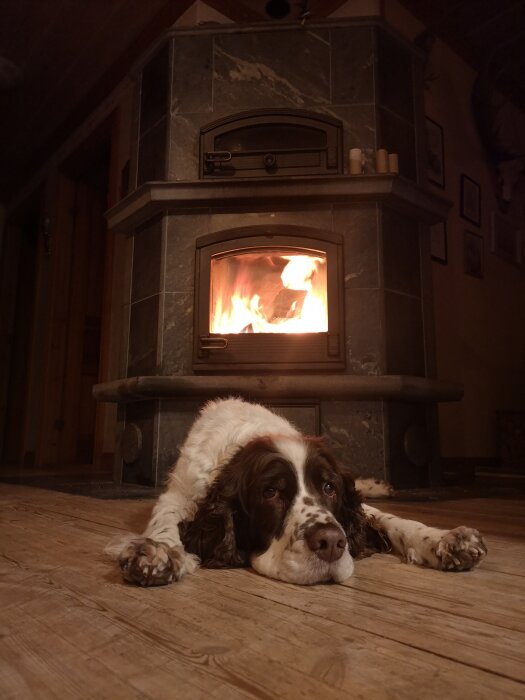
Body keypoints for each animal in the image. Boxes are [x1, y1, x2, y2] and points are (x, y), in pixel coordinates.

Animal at [107, 400, 488, 584]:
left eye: (329, 487)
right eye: (270, 492)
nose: (331, 543)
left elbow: (395, 521)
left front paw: (445, 540)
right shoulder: (180, 495)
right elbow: (165, 520)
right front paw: (159, 553)